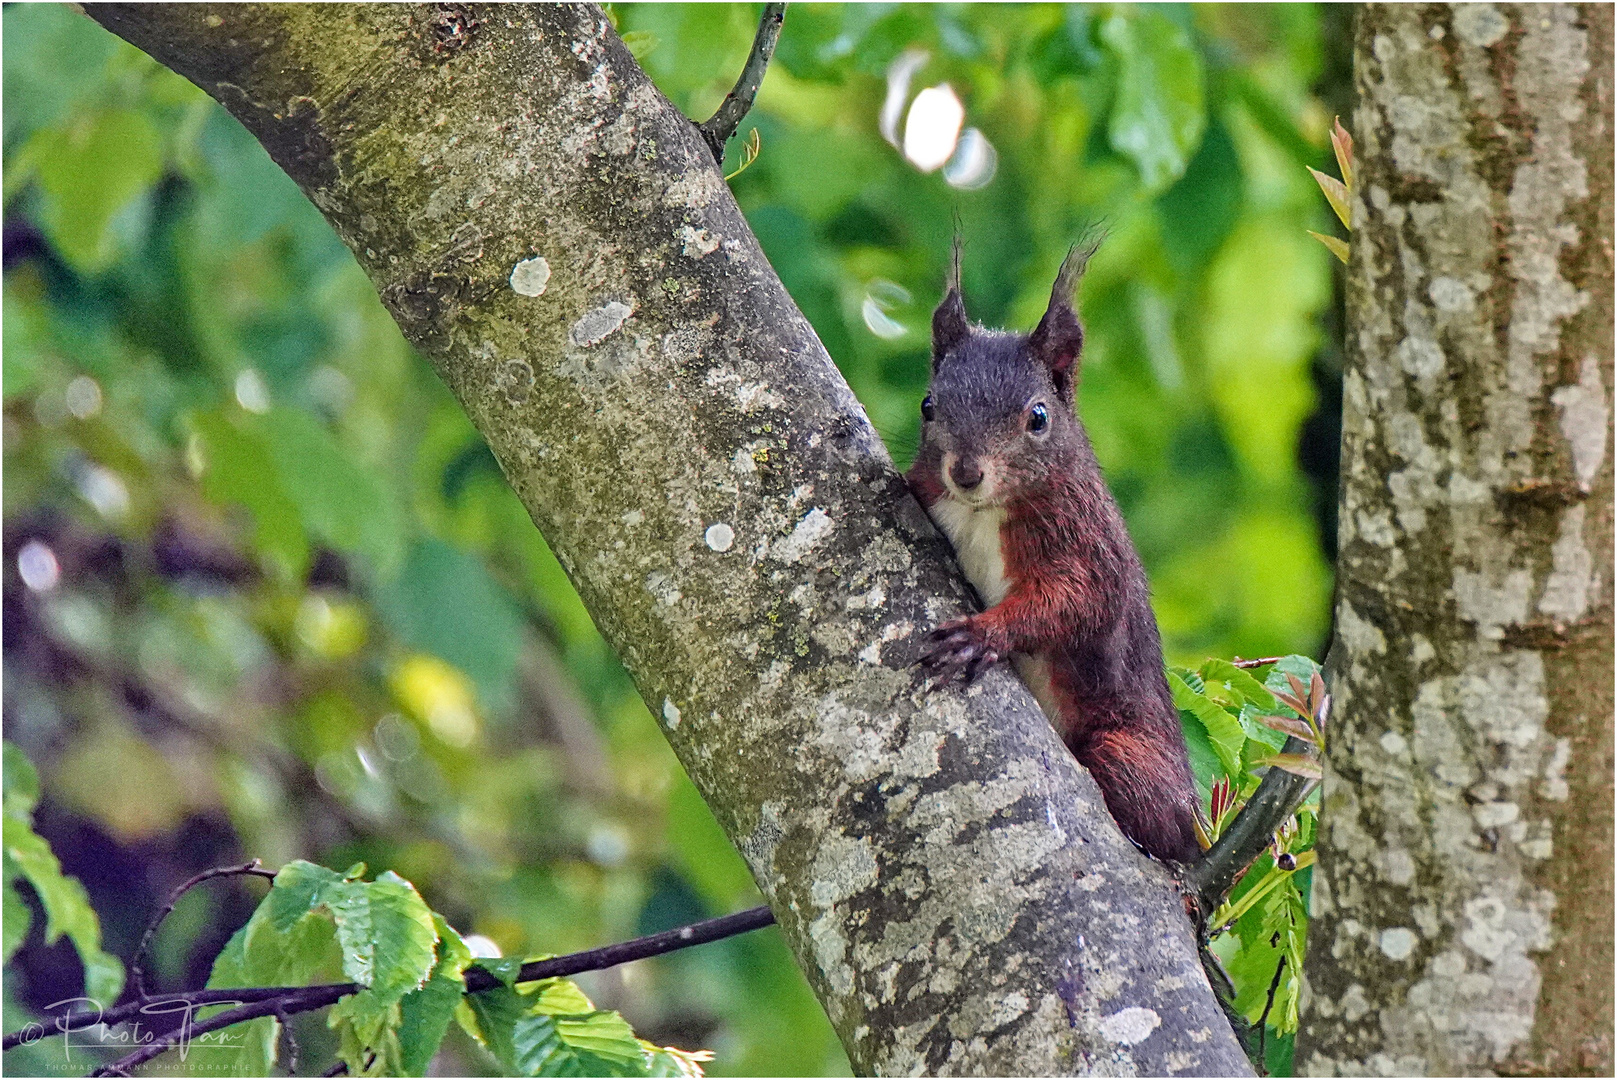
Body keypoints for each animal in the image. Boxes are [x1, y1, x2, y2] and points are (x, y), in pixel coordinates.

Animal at [911, 240, 1203, 866]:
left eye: (1038, 417)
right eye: (928, 406)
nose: (965, 473)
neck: (983, 511)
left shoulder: (1089, 546)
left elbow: (1076, 603)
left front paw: (983, 634)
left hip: (1128, 751)